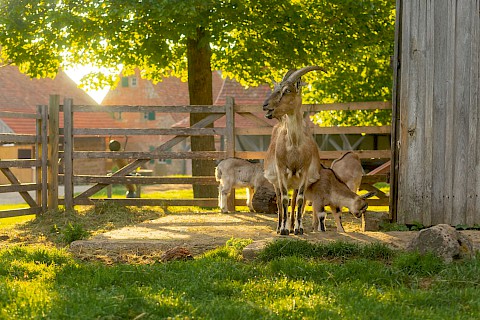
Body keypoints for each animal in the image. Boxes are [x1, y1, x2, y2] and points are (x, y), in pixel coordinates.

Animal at [260, 65, 324, 235]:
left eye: (287, 90)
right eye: (275, 88)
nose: (265, 105)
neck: (294, 146)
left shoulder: (305, 172)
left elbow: (300, 200)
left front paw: (298, 228)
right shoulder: (281, 170)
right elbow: (283, 200)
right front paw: (283, 229)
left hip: (297, 182)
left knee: (295, 200)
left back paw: (293, 225)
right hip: (276, 181)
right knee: (279, 202)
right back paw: (280, 227)